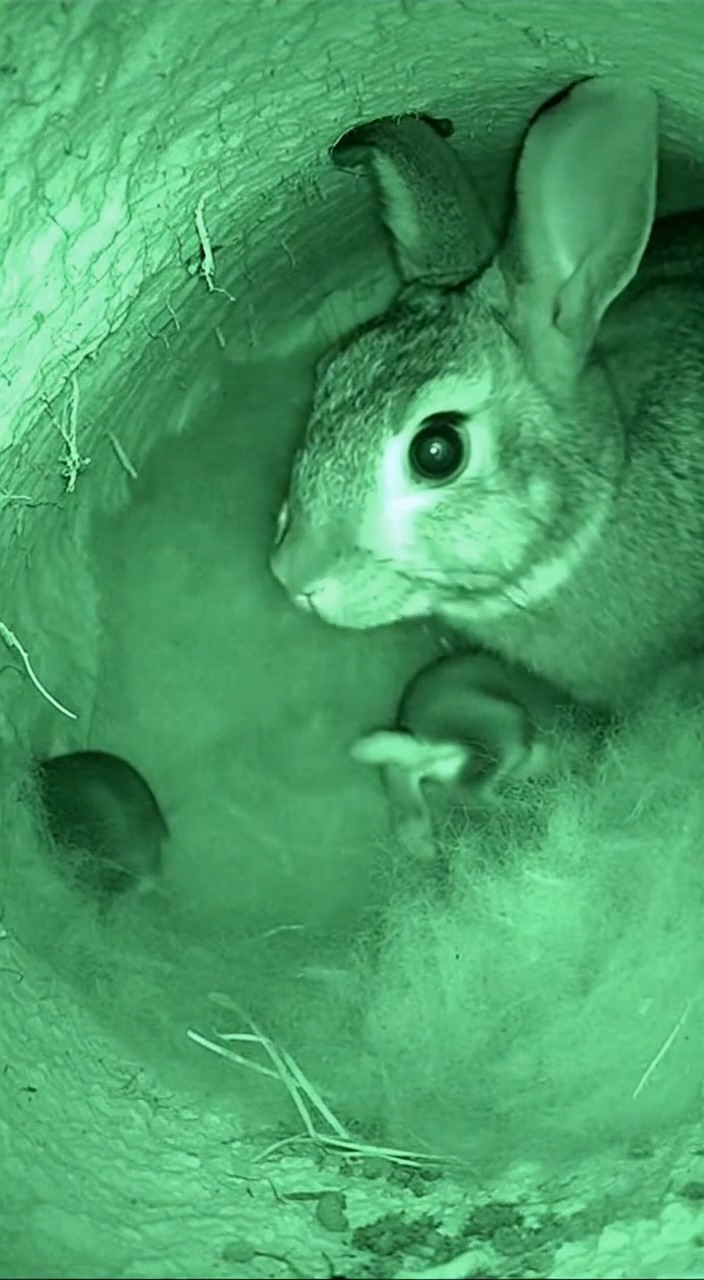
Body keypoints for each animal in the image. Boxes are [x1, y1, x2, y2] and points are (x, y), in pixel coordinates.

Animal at [350, 650, 602, 860]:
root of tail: (423, 737)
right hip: (506, 725)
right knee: (473, 791)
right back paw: (523, 809)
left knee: (407, 790)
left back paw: (421, 843)